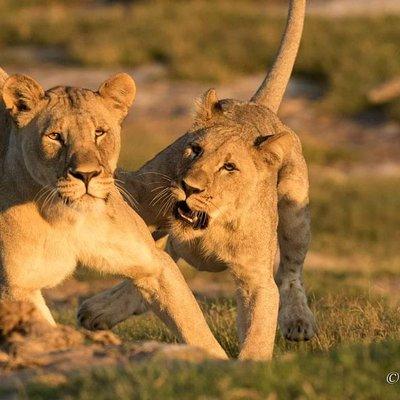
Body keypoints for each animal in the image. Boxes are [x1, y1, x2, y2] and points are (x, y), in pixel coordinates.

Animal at [0, 67, 225, 358]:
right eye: (55, 136)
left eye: (99, 132)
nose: (86, 175)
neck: (65, 216)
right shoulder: (16, 287)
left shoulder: (154, 264)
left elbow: (192, 324)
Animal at [78, 0, 316, 360]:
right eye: (194, 149)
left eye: (229, 167)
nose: (190, 187)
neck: (211, 226)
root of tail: (255, 104)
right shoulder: (142, 191)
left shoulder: (256, 279)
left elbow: (260, 326)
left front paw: (251, 364)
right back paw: (98, 310)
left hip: (294, 208)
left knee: (291, 271)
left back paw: (299, 322)